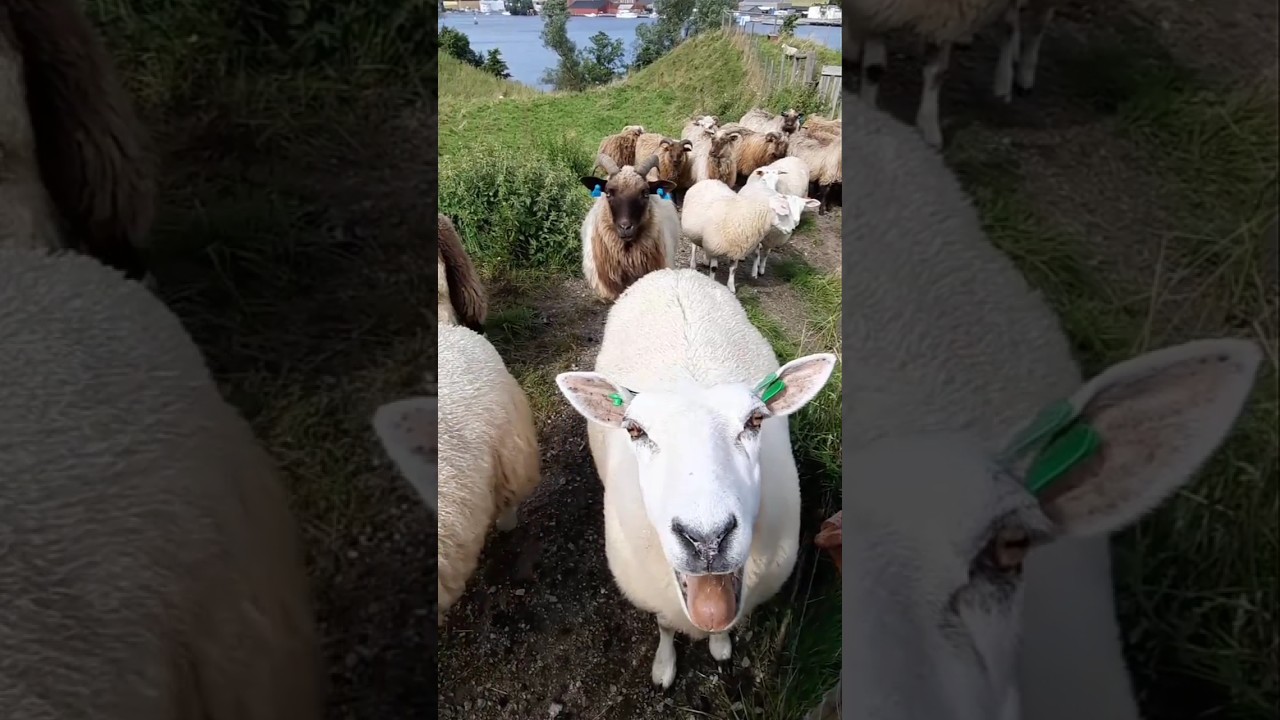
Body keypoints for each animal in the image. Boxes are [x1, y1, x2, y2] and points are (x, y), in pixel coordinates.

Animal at [554, 268, 838, 689]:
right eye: (635, 430)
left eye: (755, 420)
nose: (707, 539)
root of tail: (672, 272)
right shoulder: (656, 595)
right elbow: (665, 626)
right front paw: (664, 666)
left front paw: (720, 647)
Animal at [680, 178, 812, 293]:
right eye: (785, 212)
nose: (793, 228)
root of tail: (709, 180)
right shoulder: (715, 247)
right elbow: (714, 269)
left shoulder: (736, 249)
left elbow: (733, 269)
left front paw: (731, 287)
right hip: (694, 231)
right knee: (694, 246)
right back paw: (693, 264)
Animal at [845, 0, 1060, 147]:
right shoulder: (876, 11)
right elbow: (874, 69)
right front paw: (868, 109)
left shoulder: (945, 17)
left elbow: (936, 73)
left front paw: (929, 129)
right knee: (1012, 21)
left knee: (1033, 26)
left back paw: (1018, 78)